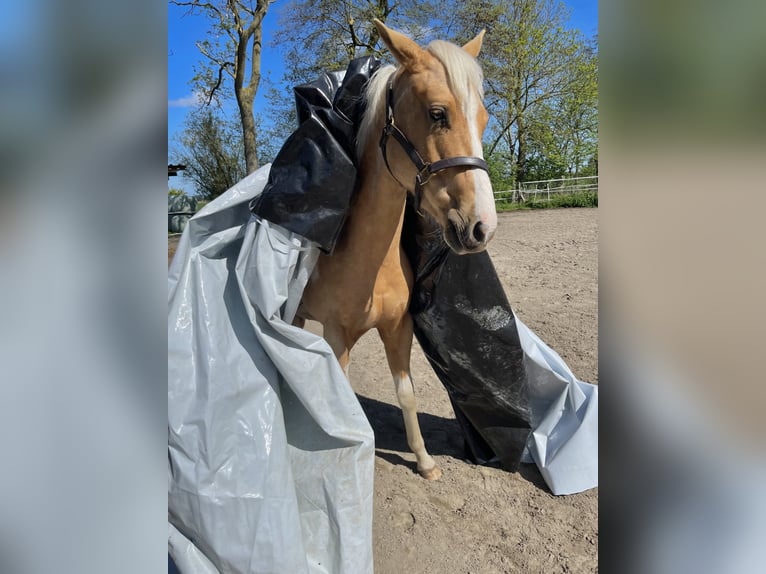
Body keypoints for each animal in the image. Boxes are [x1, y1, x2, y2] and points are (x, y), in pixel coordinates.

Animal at [297, 19, 498, 480]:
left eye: (483, 118)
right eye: (437, 113)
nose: (481, 227)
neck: (368, 264)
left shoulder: (398, 328)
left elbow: (406, 393)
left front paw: (424, 462)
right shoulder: (337, 336)